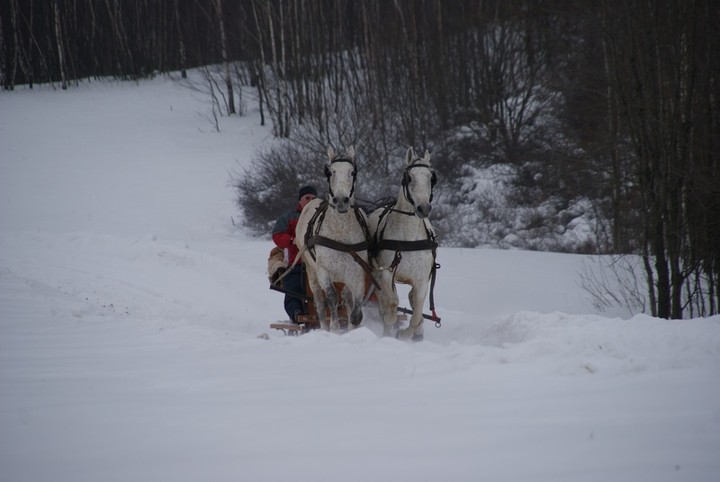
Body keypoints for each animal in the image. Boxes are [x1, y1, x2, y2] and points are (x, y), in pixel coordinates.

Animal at [292, 147, 374, 334]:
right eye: (330, 172)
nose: (341, 200)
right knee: (320, 300)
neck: (341, 235)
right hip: (311, 270)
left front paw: (353, 325)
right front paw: (335, 329)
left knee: (346, 296)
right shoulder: (323, 270)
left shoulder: (357, 271)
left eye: (353, 172)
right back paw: (324, 327)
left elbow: (356, 302)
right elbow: (331, 297)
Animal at [372, 149, 438, 340]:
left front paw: (406, 333)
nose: (424, 208)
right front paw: (391, 321)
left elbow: (416, 314)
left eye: (431, 178)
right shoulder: (386, 273)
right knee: (384, 300)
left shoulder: (422, 281)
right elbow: (392, 302)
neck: (408, 238)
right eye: (409, 177)